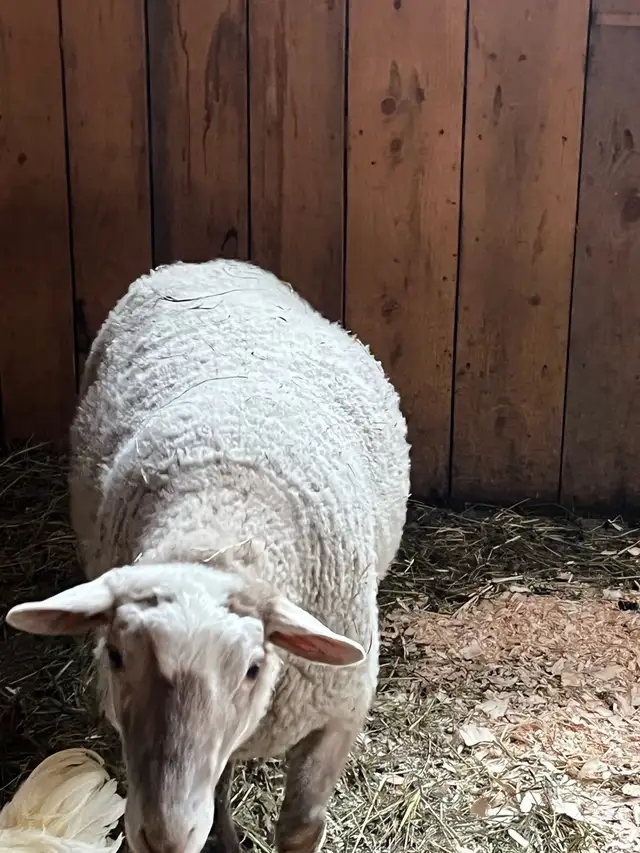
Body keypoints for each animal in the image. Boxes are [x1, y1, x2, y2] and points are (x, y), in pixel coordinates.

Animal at [6, 259, 411, 853]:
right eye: (115, 657)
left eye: (253, 668)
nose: (163, 836)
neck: (220, 521)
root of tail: (200, 263)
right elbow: (216, 797)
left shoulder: (340, 714)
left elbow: (300, 826)